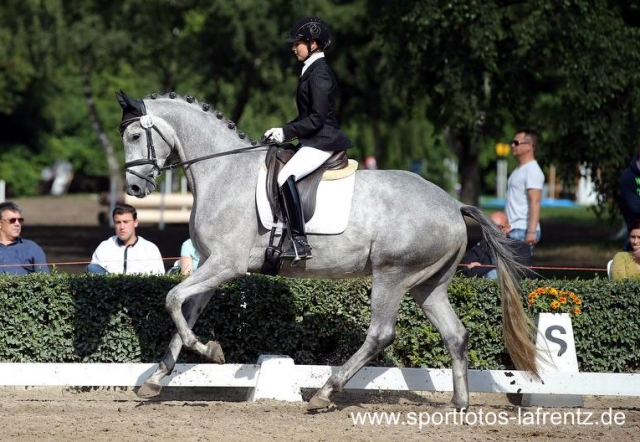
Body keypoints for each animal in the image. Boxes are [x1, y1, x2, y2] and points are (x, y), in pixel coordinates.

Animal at [117, 90, 536, 410]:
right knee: (456, 335)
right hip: (427, 285)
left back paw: (325, 392)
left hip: (391, 274)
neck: (223, 173)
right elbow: (186, 311)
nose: (135, 189)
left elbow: (173, 299)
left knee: (381, 334)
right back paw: (459, 404)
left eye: (135, 136)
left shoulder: (225, 264)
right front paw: (159, 375)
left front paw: (209, 350)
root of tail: (453, 203)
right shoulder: (210, 264)